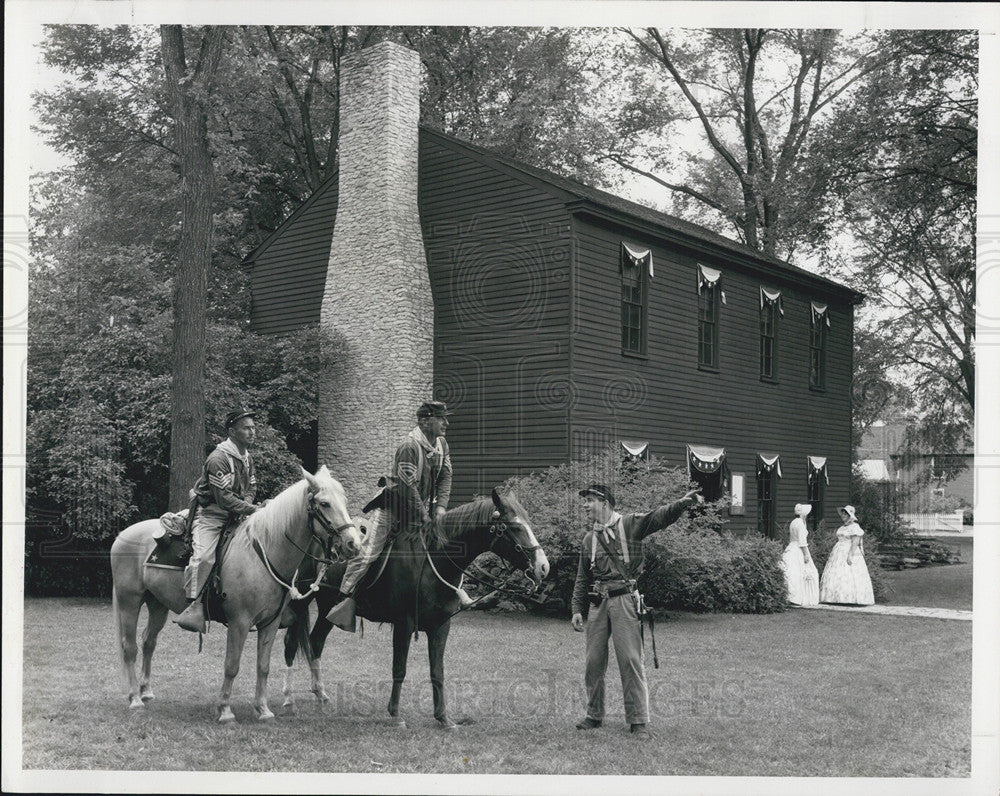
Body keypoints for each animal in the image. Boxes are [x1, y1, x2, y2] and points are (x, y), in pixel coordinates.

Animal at [111, 466, 362, 720]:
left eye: (344, 501)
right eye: (324, 503)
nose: (353, 544)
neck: (263, 552)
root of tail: (122, 535)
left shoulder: (270, 623)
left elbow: (263, 665)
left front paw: (263, 709)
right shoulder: (239, 621)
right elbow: (232, 665)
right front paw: (225, 710)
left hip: (157, 604)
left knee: (148, 641)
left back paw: (146, 691)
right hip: (129, 601)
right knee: (129, 647)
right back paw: (134, 698)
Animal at [280, 482, 548, 732]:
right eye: (515, 527)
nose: (543, 567)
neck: (434, 562)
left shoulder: (441, 626)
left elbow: (437, 671)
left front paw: (444, 718)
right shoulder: (404, 624)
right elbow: (399, 669)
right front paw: (396, 715)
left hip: (326, 608)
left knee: (315, 643)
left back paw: (321, 694)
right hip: (301, 601)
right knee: (291, 644)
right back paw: (289, 699)